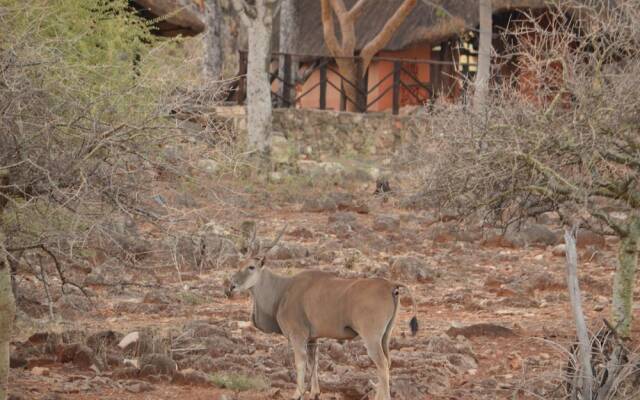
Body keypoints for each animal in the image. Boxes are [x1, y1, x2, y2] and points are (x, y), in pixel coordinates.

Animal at [226, 227, 420, 398]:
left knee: (382, 364)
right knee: (387, 362)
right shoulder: (313, 338)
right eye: (238, 265)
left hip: (371, 337)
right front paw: (315, 393)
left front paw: (298, 393)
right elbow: (314, 362)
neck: (282, 291)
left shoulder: (298, 335)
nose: (231, 286)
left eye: (251, 267)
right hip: (385, 336)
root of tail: (391, 285)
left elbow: (300, 362)